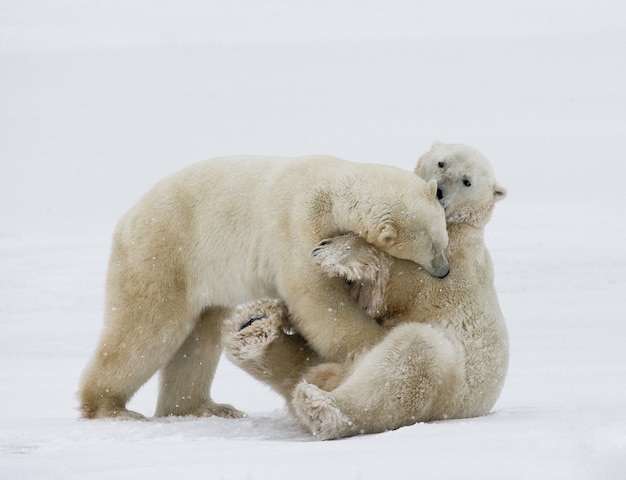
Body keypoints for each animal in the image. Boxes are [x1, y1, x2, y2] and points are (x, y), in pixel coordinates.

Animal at [79, 155, 448, 420]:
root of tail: (127, 219)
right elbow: (319, 300)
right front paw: (372, 343)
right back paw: (111, 409)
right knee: (148, 329)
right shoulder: (299, 228)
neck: (330, 189)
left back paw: (207, 408)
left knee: (199, 338)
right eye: (432, 247)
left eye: (443, 239)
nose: (445, 271)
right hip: (164, 253)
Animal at [224, 142, 508, 438]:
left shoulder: (456, 267)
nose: (440, 191)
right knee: (306, 366)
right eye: (442, 162)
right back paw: (252, 327)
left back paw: (321, 406)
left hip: (448, 383)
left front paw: (333, 251)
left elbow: (401, 281)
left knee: (414, 359)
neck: (462, 226)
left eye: (467, 181)